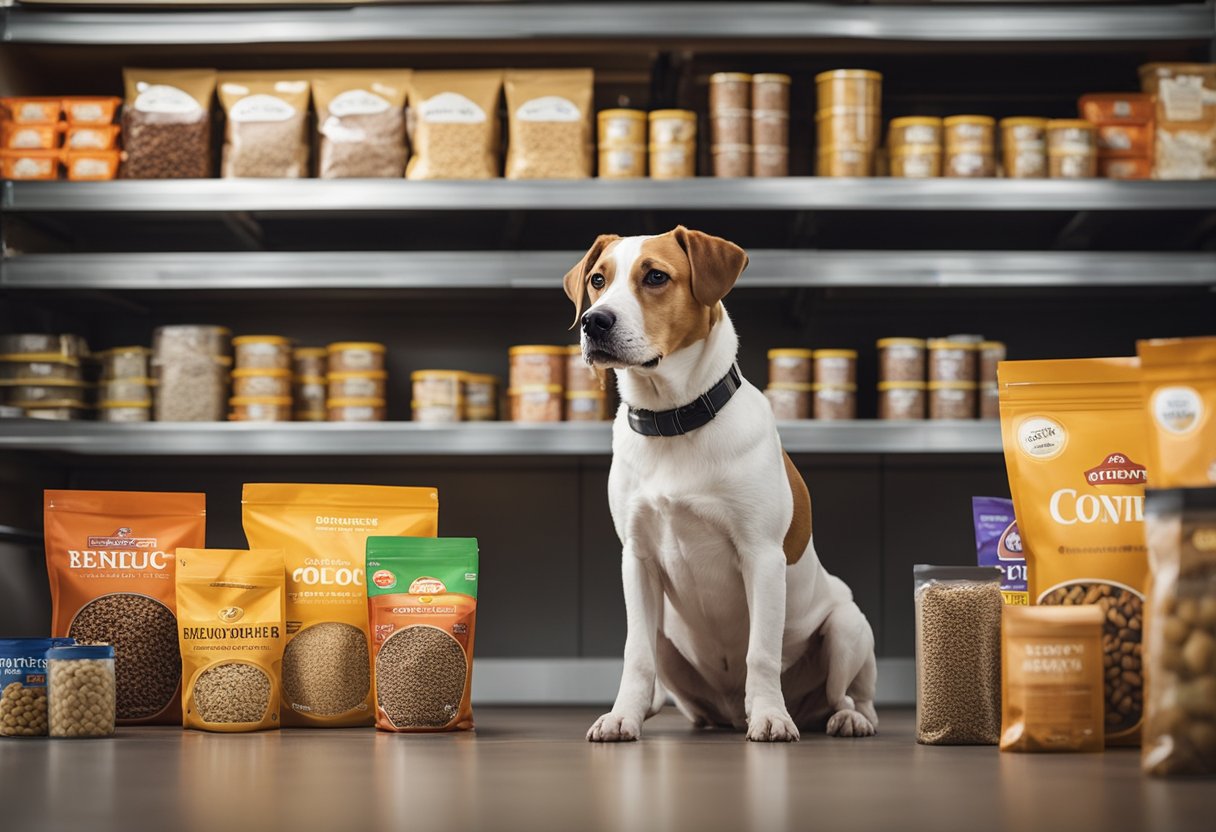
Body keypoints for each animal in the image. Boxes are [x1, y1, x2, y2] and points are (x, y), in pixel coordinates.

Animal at [564, 226, 880, 739]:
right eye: (597, 280)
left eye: (656, 276)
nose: (594, 322)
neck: (673, 421)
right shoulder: (637, 559)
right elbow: (636, 655)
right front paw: (621, 716)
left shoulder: (762, 556)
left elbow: (762, 652)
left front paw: (770, 716)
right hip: (668, 634)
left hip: (848, 625)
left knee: (850, 694)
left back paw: (844, 717)